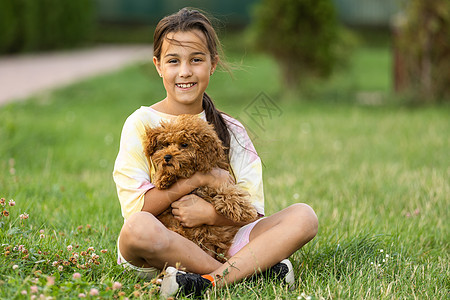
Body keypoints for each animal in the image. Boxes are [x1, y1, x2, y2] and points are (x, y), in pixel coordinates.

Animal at [144, 115, 256, 262]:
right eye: (167, 144)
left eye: (184, 144)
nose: (167, 157)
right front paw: (164, 177)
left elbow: (229, 191)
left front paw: (243, 209)